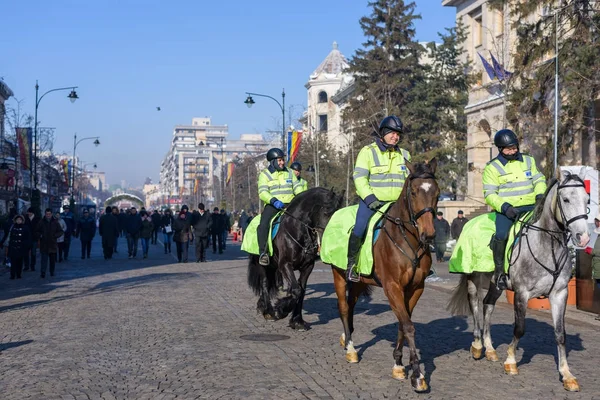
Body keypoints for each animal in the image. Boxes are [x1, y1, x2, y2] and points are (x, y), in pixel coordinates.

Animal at [330, 158, 438, 392]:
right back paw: (350, 349)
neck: (408, 240)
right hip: (338, 274)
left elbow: (403, 324)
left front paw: (398, 364)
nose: (429, 234)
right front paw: (418, 375)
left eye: (436, 191)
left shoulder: (415, 289)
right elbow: (408, 326)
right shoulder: (392, 287)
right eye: (413, 192)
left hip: (359, 281)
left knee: (351, 305)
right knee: (343, 307)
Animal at [448, 169, 588, 390]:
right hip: (473, 277)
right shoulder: (522, 293)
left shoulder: (560, 293)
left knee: (488, 305)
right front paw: (511, 361)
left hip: (495, 283)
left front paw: (567, 375)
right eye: (565, 199)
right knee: (475, 306)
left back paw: (490, 348)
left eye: (587, 199)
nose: (583, 237)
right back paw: (478, 345)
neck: (546, 245)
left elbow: (560, 334)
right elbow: (520, 328)